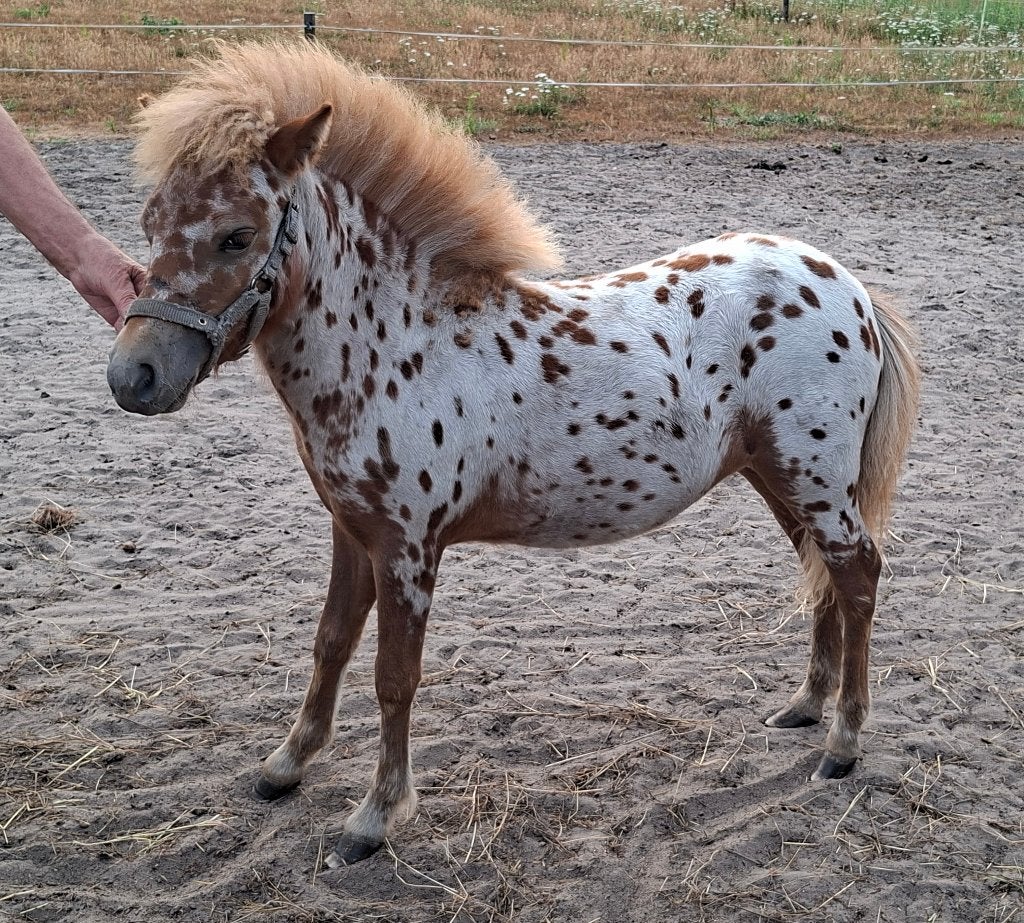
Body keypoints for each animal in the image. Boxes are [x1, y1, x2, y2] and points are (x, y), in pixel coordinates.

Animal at [107, 41, 920, 866]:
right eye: (149, 221)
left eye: (237, 235)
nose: (134, 376)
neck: (398, 344)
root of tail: (848, 288)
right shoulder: (352, 530)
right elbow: (330, 642)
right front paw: (287, 763)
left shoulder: (407, 547)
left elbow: (394, 677)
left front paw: (375, 816)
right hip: (777, 476)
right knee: (822, 577)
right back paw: (804, 706)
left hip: (814, 479)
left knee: (857, 575)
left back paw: (844, 741)